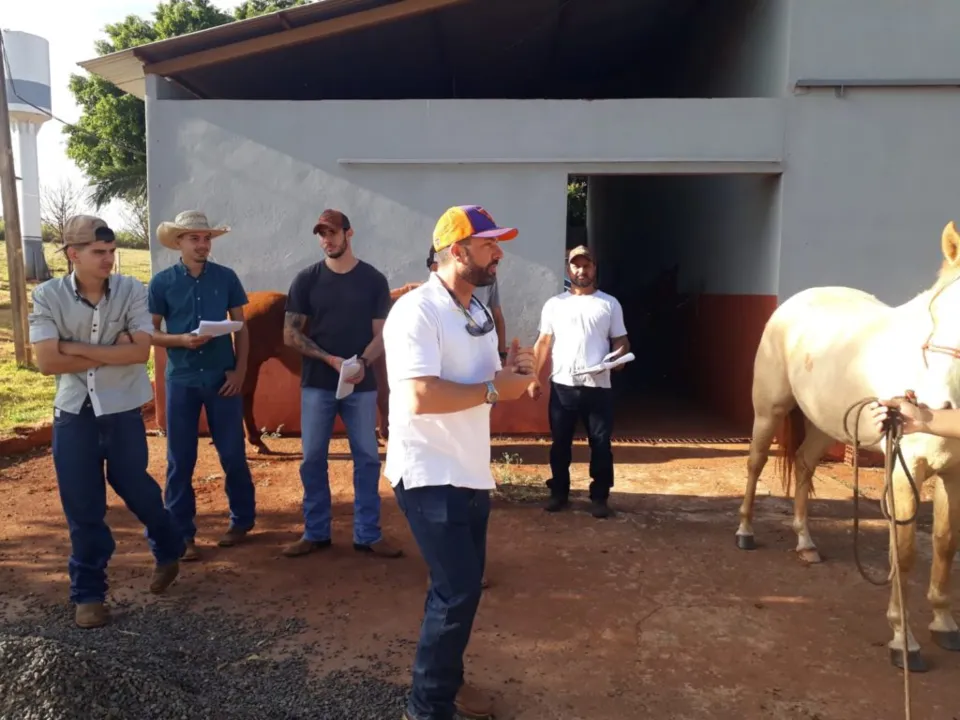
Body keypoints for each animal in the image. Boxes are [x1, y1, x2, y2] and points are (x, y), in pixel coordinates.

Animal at [740, 222, 960, 672]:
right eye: (937, 317)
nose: (940, 406)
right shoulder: (906, 469)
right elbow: (904, 554)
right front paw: (904, 641)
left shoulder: (955, 472)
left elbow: (945, 544)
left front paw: (944, 623)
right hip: (769, 410)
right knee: (755, 464)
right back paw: (745, 531)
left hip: (827, 425)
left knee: (805, 464)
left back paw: (806, 543)